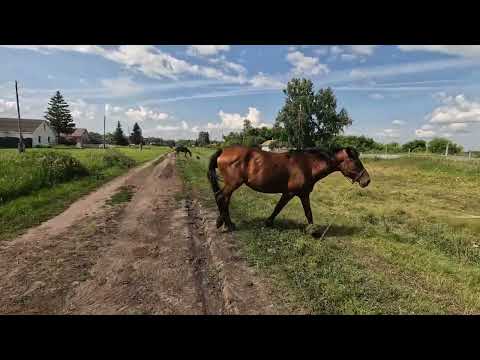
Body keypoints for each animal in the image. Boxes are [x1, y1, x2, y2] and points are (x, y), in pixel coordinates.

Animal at [207, 146, 372, 232]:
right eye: (356, 162)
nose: (367, 180)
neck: (308, 166)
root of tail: (223, 151)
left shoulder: (297, 194)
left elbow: (288, 209)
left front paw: (268, 223)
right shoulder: (294, 193)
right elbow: (295, 210)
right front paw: (313, 232)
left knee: (223, 199)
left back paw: (224, 222)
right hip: (233, 183)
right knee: (221, 197)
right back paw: (227, 224)